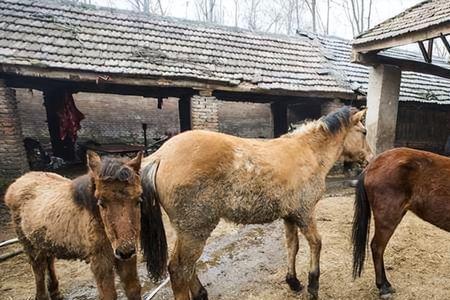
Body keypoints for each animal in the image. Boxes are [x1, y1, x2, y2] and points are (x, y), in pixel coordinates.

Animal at [3, 152, 142, 300]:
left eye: (138, 200)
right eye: (101, 202)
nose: (125, 250)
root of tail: (19, 181)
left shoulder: (128, 259)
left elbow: (133, 289)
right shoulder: (101, 263)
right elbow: (108, 295)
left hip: (45, 242)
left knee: (49, 262)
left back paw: (56, 292)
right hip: (30, 246)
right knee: (38, 270)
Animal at [141, 106, 372, 298]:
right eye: (364, 132)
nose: (370, 158)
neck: (308, 152)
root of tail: (159, 156)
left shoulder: (290, 215)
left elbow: (293, 246)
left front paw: (293, 281)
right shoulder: (304, 212)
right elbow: (316, 243)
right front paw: (313, 285)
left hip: (187, 230)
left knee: (186, 266)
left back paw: (201, 293)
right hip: (195, 229)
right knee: (180, 269)